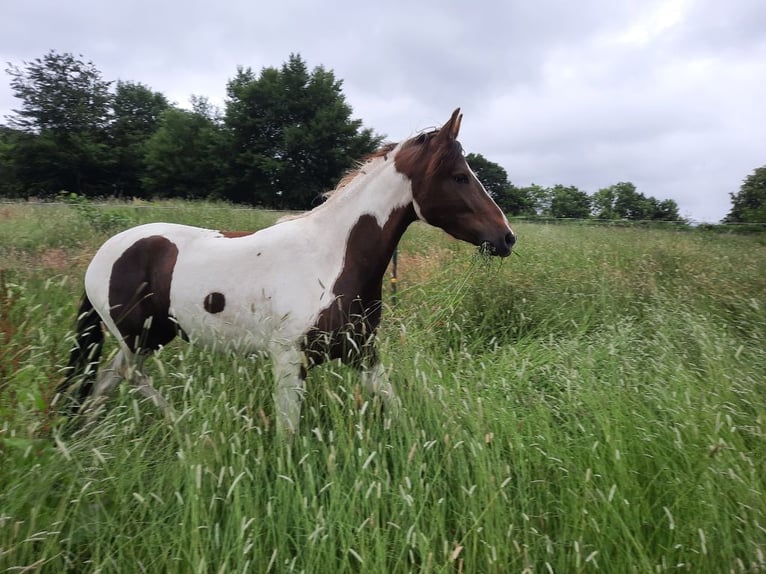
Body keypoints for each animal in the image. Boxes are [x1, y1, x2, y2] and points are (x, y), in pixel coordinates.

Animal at [58, 109, 516, 436]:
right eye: (459, 176)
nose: (507, 237)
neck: (332, 259)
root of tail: (104, 254)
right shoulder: (288, 360)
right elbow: (289, 434)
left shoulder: (362, 352)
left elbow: (394, 405)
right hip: (138, 338)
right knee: (127, 376)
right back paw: (182, 427)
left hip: (147, 337)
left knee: (105, 382)